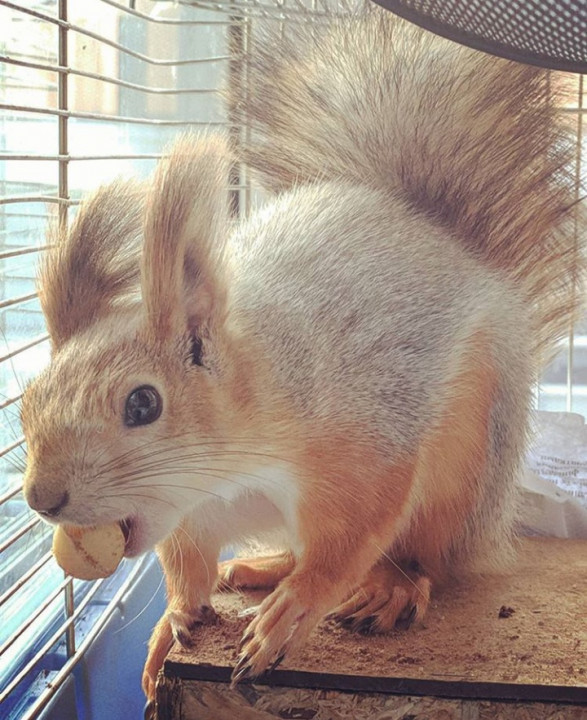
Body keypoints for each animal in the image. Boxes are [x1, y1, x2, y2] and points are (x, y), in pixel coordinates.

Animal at [21, 4, 584, 706]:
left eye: (144, 403)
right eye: (27, 403)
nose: (41, 498)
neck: (231, 467)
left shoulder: (363, 444)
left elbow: (348, 542)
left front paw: (294, 612)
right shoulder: (192, 516)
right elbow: (188, 569)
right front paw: (171, 621)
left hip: (465, 461)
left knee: (424, 556)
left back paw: (386, 586)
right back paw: (263, 566)